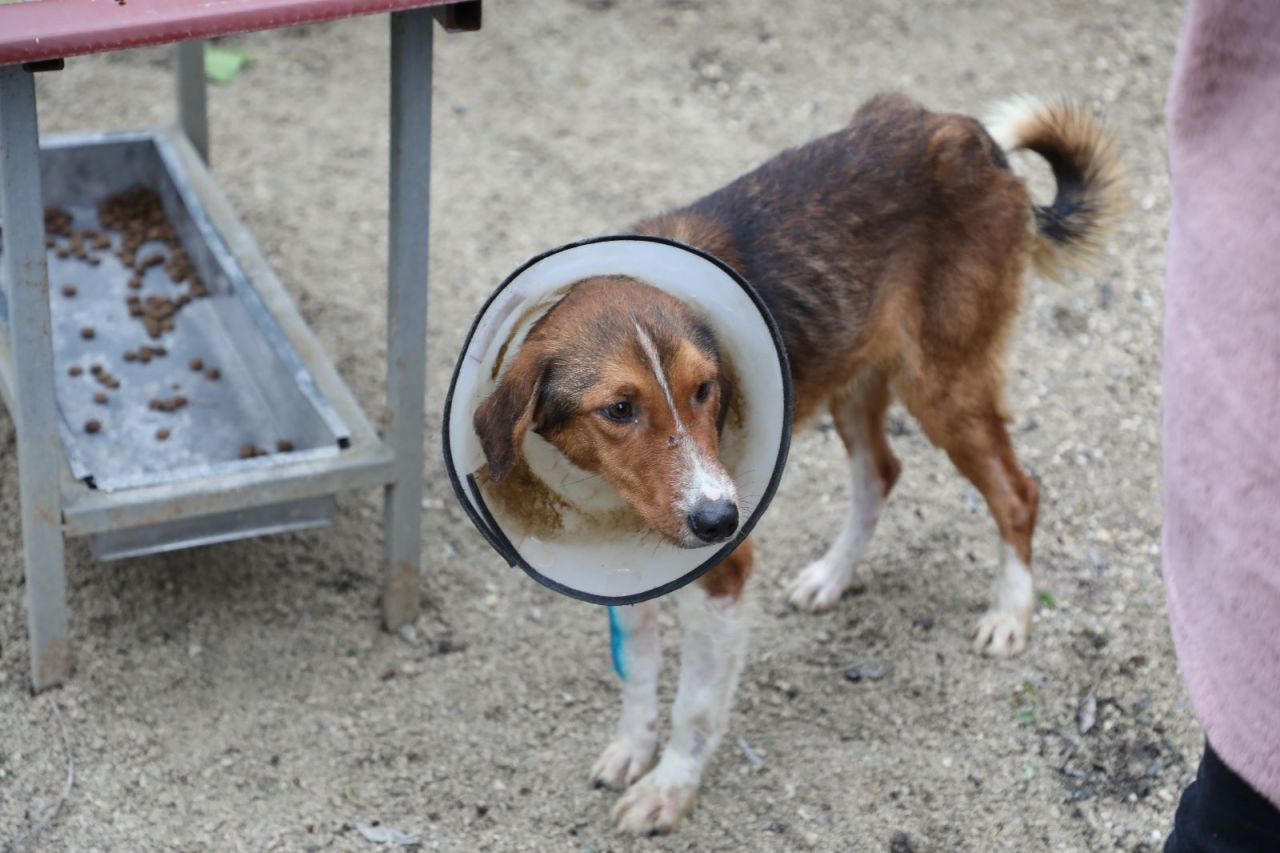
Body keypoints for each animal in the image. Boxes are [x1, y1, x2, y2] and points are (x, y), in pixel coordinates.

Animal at [471, 94, 1121, 829]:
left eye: (707, 389)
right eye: (618, 409)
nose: (721, 520)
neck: (620, 502)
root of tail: (964, 133)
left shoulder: (723, 574)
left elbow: (695, 704)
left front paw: (671, 787)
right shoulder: (628, 574)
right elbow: (638, 672)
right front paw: (633, 748)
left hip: (942, 387)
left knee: (1018, 490)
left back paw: (1010, 613)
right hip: (857, 375)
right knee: (881, 472)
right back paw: (830, 578)